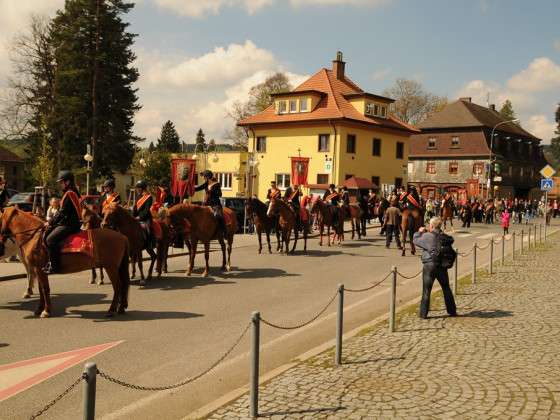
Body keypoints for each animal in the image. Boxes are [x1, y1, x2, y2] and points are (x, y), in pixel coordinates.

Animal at [0, 207, 129, 318]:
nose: (1, 243)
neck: (34, 237)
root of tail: (122, 237)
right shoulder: (39, 270)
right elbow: (41, 289)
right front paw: (39, 309)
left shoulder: (40, 269)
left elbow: (45, 289)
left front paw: (46, 311)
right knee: (122, 286)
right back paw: (120, 308)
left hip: (111, 267)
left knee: (118, 286)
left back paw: (111, 310)